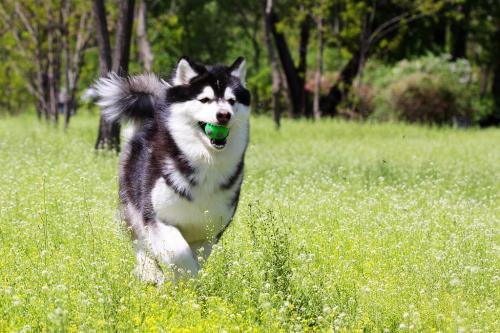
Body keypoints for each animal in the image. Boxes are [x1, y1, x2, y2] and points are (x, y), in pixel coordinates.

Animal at [94, 57, 250, 282]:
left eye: (232, 101)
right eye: (204, 99)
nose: (223, 115)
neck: (206, 163)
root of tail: (152, 117)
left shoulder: (209, 232)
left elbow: (196, 257)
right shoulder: (158, 218)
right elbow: (179, 254)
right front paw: (180, 280)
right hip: (132, 203)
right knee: (140, 242)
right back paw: (149, 272)